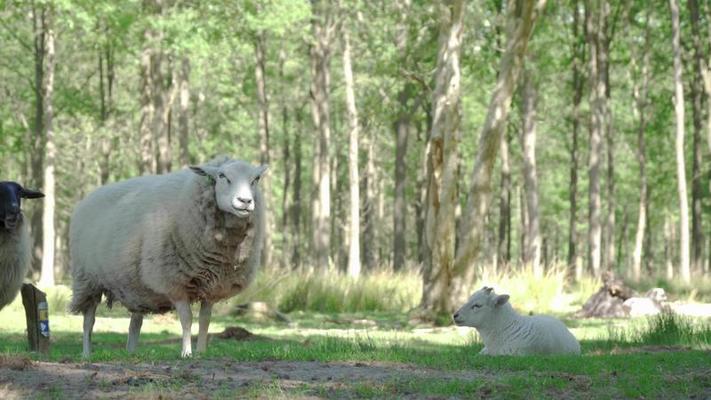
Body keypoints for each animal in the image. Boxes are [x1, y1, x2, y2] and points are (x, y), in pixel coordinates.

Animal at [69, 155, 268, 356]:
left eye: (256, 179)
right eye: (222, 176)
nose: (245, 201)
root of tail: (88, 197)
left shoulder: (212, 287)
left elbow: (205, 320)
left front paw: (201, 351)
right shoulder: (174, 282)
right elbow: (187, 319)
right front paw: (186, 352)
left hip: (135, 285)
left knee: (135, 323)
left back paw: (131, 352)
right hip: (87, 279)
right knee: (89, 320)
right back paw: (87, 353)